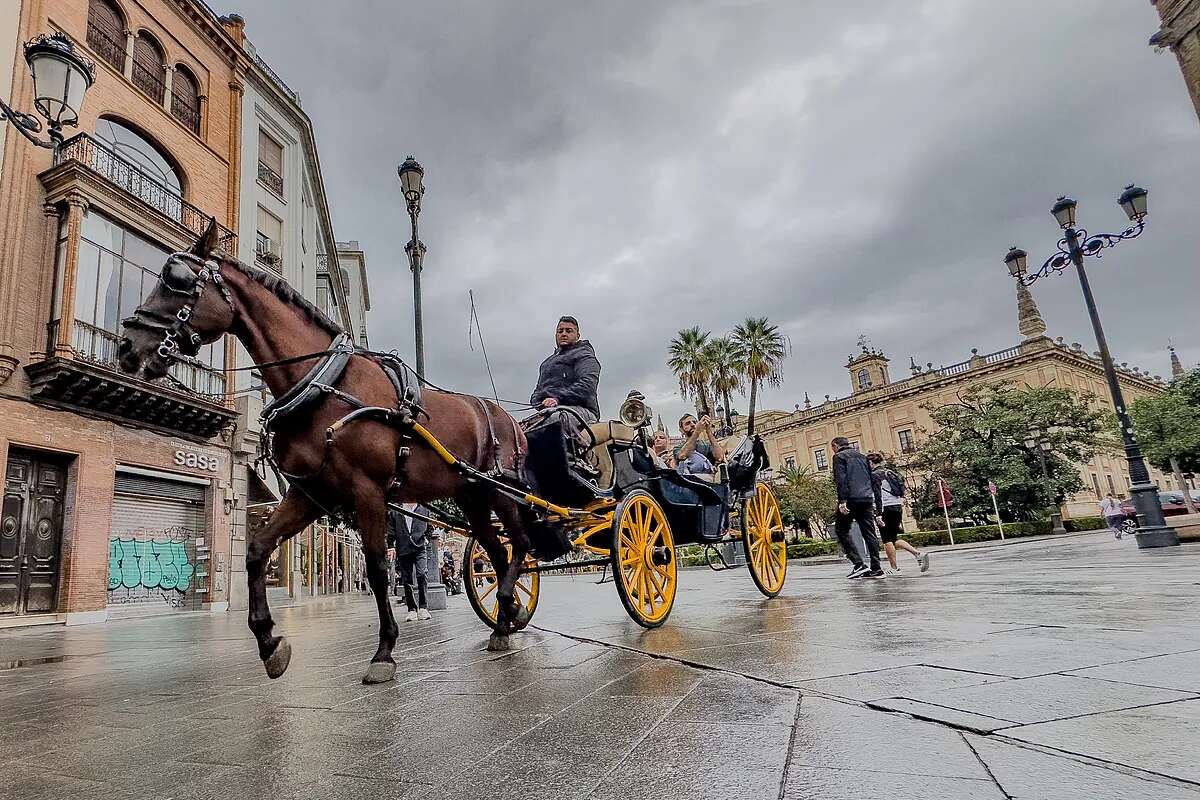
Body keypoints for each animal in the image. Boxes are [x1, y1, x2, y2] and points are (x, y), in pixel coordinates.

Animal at [118, 221, 535, 686]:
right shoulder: (310, 493)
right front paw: (269, 641)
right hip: (472, 496)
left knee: (519, 544)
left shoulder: (368, 491)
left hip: (501, 490)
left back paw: (507, 606)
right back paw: (506, 618)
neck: (324, 384)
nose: (128, 345)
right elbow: (257, 549)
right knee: (496, 553)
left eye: (176, 280)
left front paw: (384, 651)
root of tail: (509, 418)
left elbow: (377, 569)